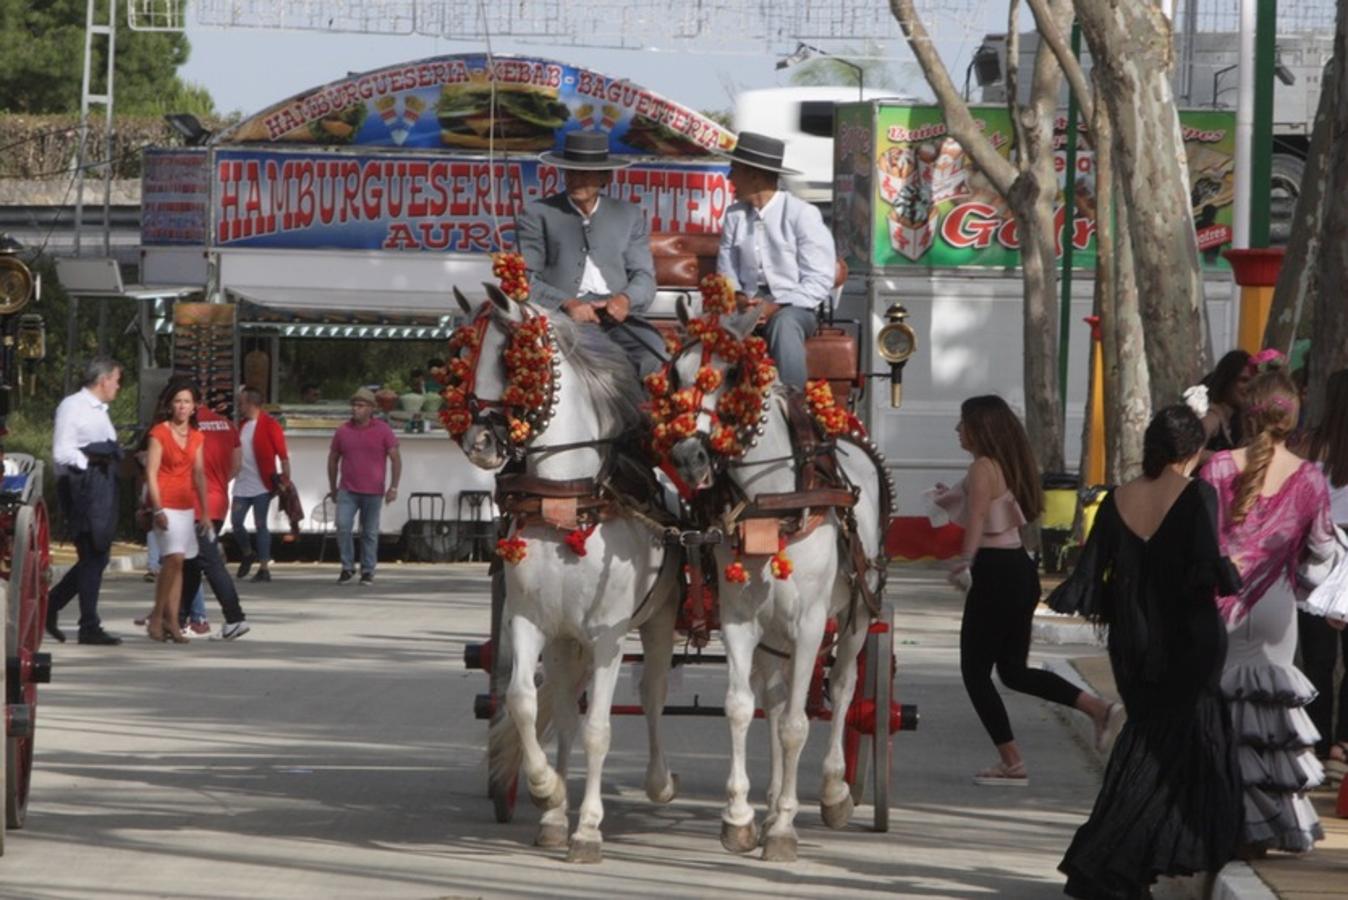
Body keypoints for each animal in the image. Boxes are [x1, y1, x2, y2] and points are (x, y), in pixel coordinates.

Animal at [444, 276, 684, 862]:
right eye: (459, 355)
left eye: (512, 357)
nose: (479, 444)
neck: (567, 499)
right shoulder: (530, 621)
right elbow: (523, 703)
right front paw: (547, 791)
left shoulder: (608, 636)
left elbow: (600, 728)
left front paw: (589, 828)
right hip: (563, 640)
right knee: (564, 711)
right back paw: (554, 814)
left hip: (658, 618)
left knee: (653, 695)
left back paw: (658, 783)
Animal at [652, 276, 895, 862]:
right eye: (677, 373)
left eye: (732, 375)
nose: (689, 457)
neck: (772, 498)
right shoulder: (741, 620)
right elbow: (744, 709)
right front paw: (741, 818)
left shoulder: (810, 624)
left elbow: (797, 725)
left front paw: (784, 826)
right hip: (773, 635)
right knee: (776, 697)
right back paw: (767, 802)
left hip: (856, 612)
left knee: (843, 690)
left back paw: (832, 791)